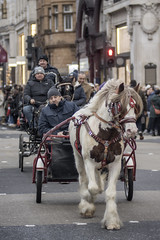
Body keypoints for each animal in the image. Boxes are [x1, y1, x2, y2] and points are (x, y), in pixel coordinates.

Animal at [69, 79, 142, 229]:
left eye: (136, 107)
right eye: (120, 105)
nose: (132, 130)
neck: (106, 134)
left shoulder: (115, 164)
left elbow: (110, 193)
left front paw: (112, 221)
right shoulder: (89, 162)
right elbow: (92, 188)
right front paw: (87, 205)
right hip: (78, 157)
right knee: (83, 179)